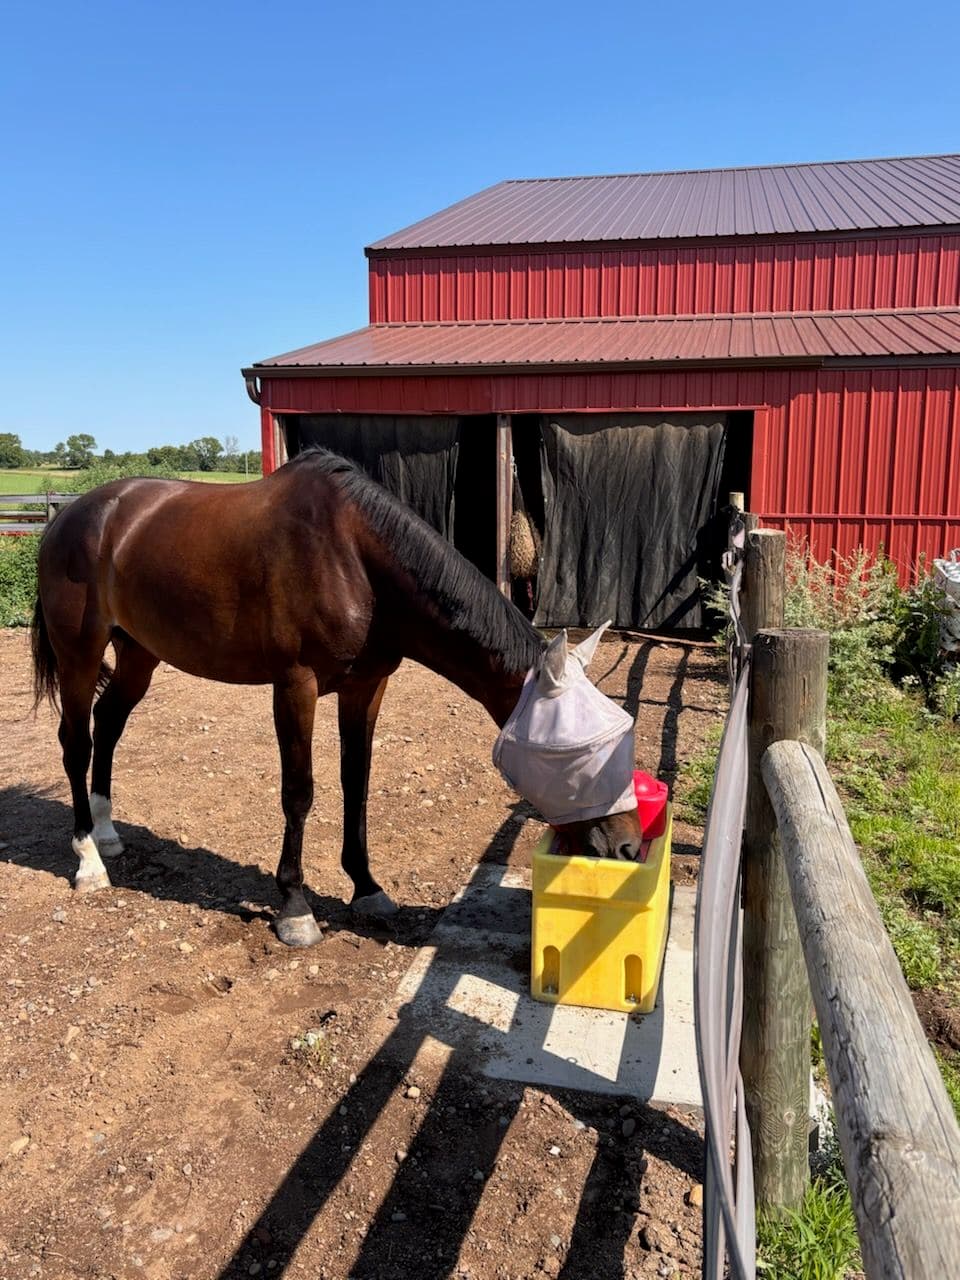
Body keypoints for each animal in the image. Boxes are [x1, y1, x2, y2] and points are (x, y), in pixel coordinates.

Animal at [30, 449, 643, 946]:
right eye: (576, 755)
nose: (629, 848)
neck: (353, 557)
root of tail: (72, 515)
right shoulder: (294, 686)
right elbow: (299, 792)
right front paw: (295, 908)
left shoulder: (365, 687)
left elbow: (357, 783)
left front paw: (367, 888)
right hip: (80, 654)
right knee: (76, 741)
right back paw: (88, 859)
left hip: (139, 655)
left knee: (109, 725)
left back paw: (108, 834)